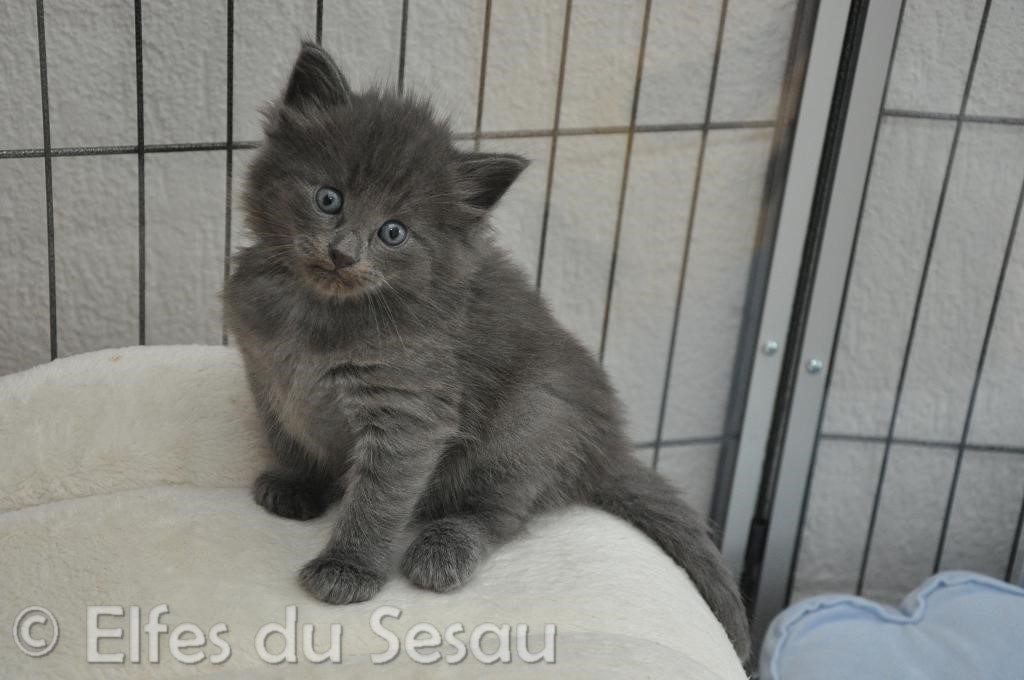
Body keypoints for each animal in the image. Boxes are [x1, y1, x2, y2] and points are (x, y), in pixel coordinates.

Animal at [223, 42, 750, 660]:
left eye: (394, 232)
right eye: (329, 198)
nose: (343, 253)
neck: (317, 313)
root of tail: (610, 446)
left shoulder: (408, 413)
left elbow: (379, 497)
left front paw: (348, 567)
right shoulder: (267, 377)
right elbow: (289, 436)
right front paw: (298, 483)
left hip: (528, 424)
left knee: (496, 513)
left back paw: (442, 550)